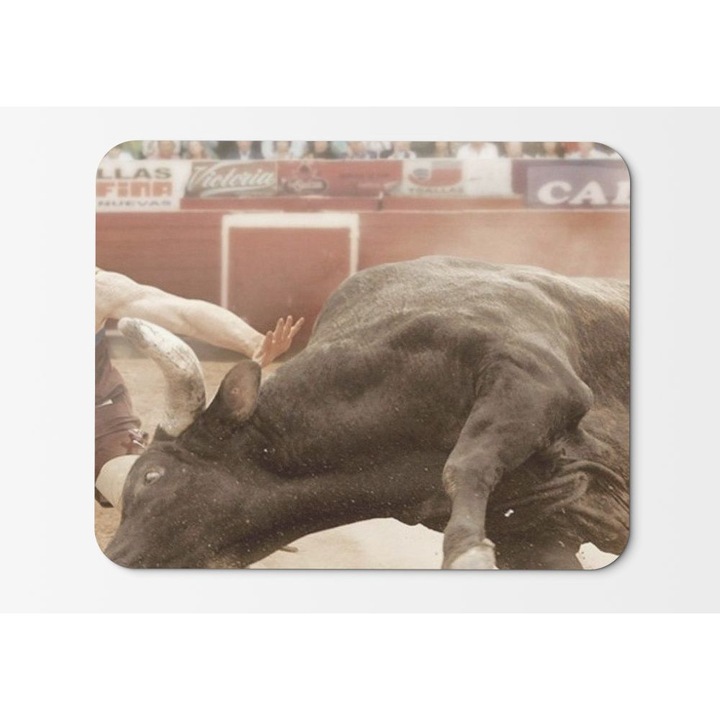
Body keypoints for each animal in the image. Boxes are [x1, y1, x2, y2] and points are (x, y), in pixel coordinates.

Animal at [103, 256, 629, 570]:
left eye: (151, 476)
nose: (116, 556)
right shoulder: (537, 534)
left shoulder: (534, 379)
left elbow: (464, 462)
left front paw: (466, 552)